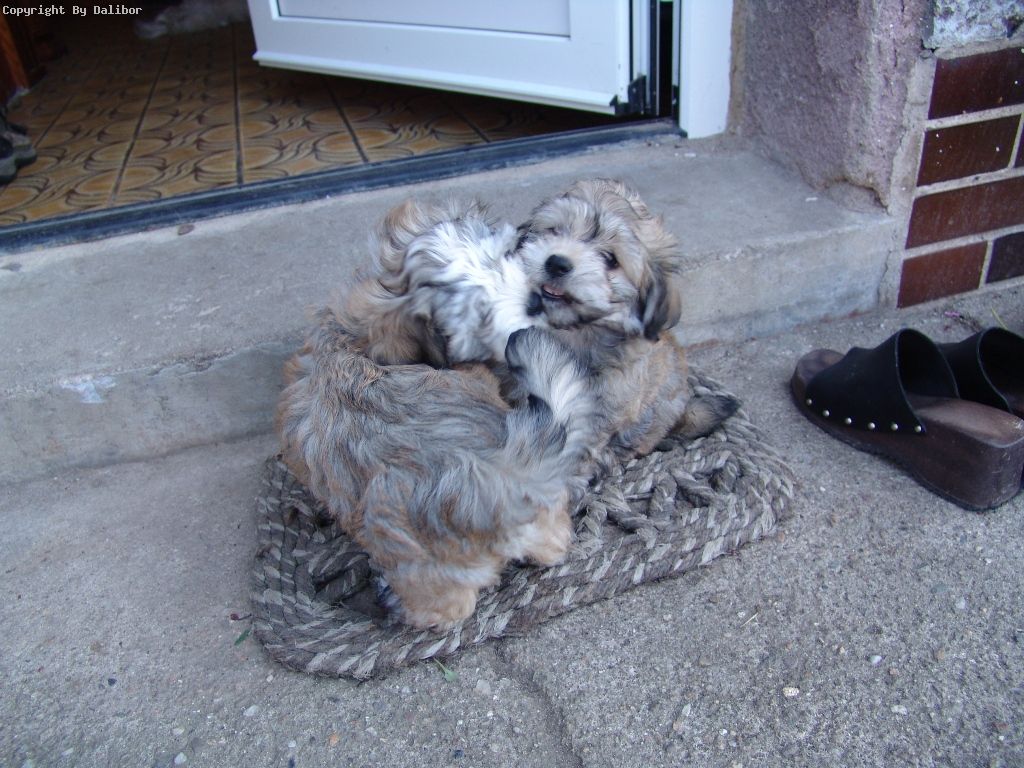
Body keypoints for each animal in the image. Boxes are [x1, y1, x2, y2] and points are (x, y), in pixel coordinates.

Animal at [276, 315, 596, 631]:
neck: (340, 352)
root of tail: (506, 471)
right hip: (543, 520)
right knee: (554, 543)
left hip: (422, 569)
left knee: (450, 606)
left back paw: (396, 603)